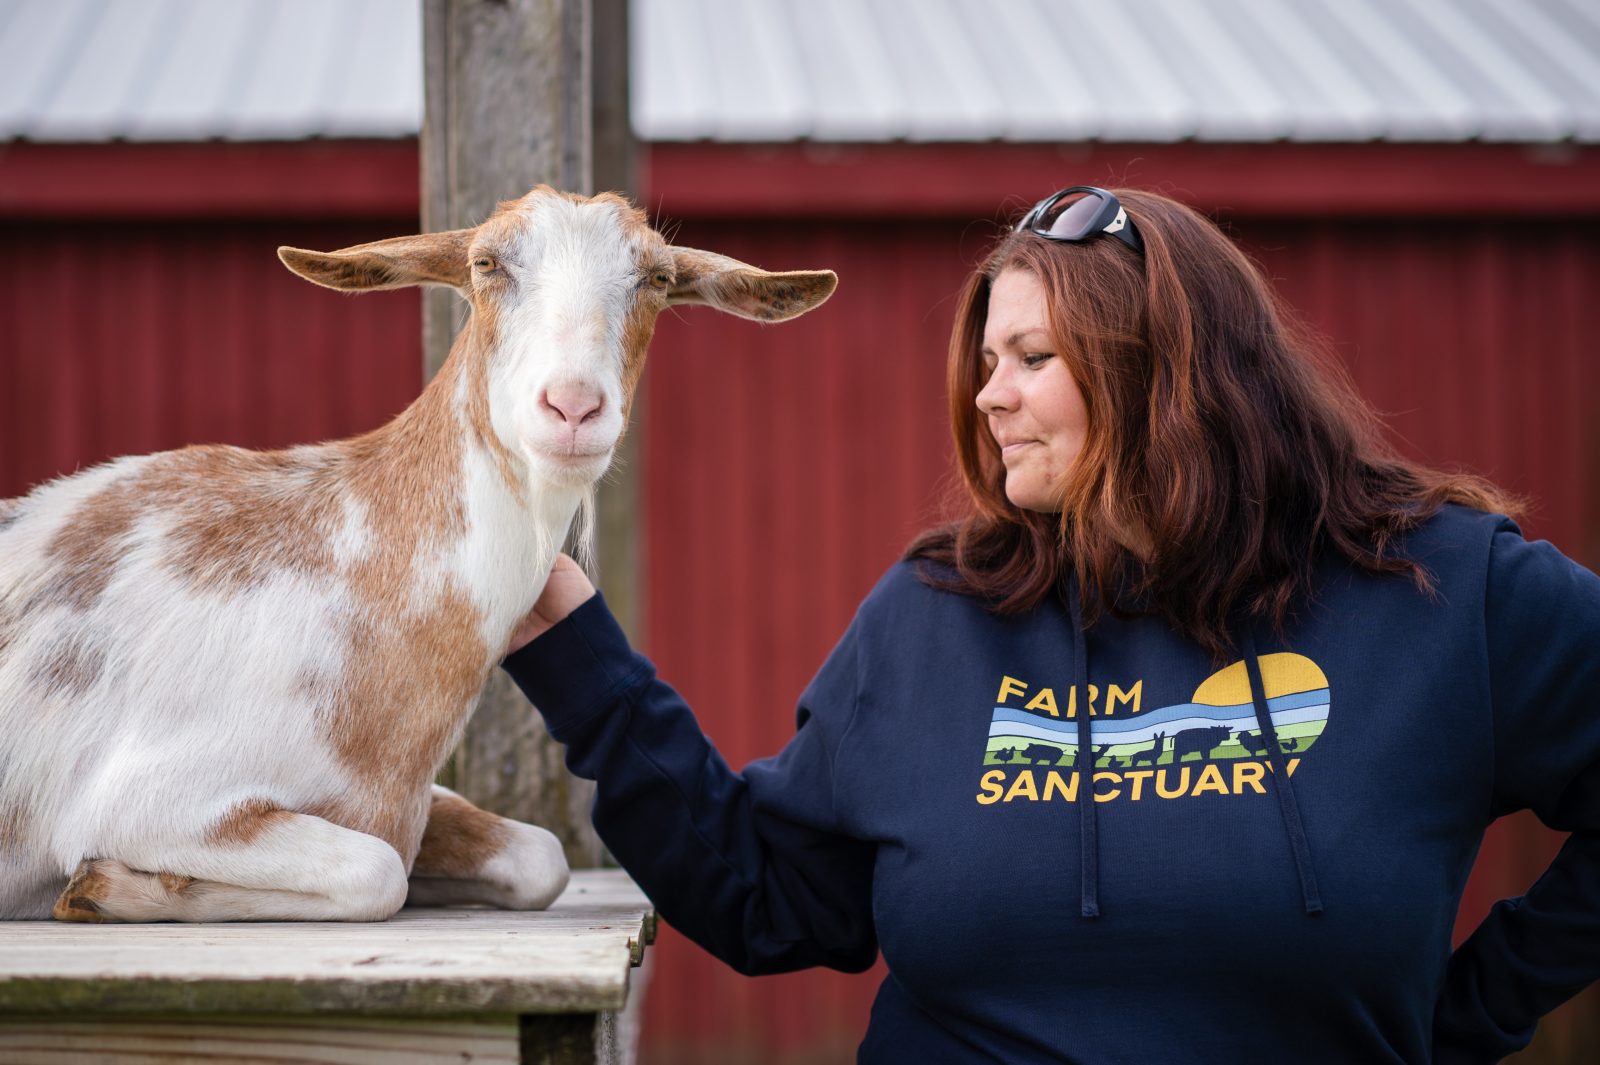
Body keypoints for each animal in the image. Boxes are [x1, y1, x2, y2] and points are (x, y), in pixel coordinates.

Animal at [0, 187, 836, 922]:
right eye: (486, 263)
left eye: (658, 278)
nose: (572, 407)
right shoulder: (146, 795)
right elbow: (376, 871)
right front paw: (102, 887)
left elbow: (538, 856)